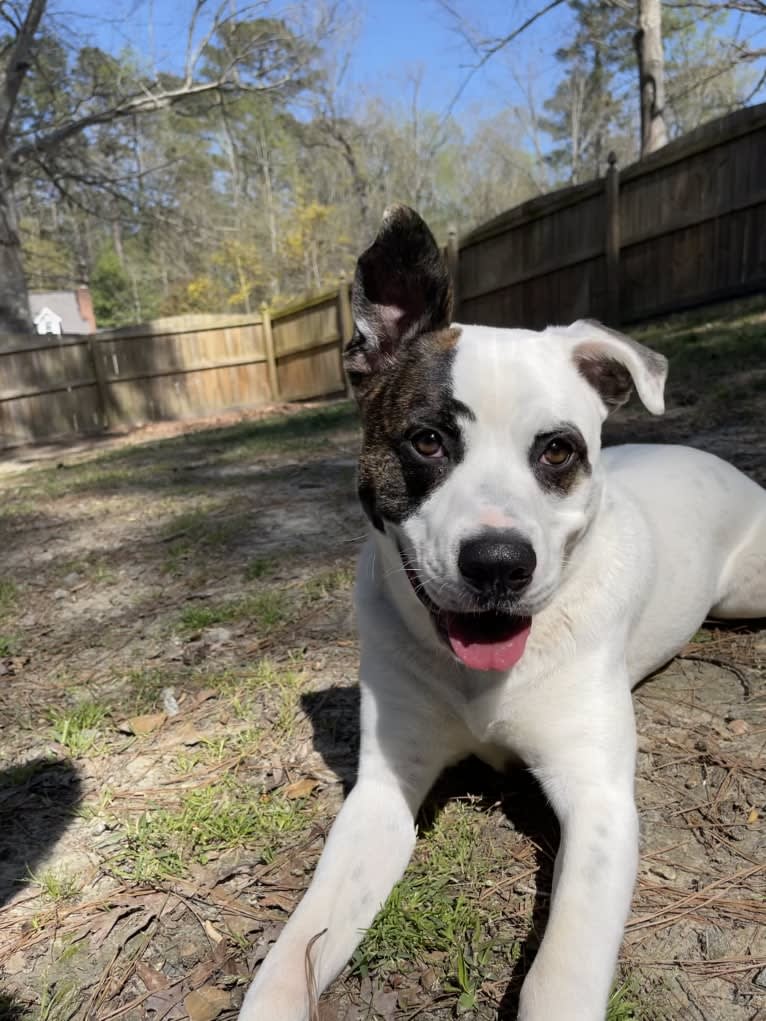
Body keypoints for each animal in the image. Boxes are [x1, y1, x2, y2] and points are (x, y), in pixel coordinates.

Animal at [241, 207, 766, 1021]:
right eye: (427, 440)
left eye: (557, 451)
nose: (496, 563)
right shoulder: (384, 791)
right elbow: (296, 949)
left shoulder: (599, 801)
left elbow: (562, 972)